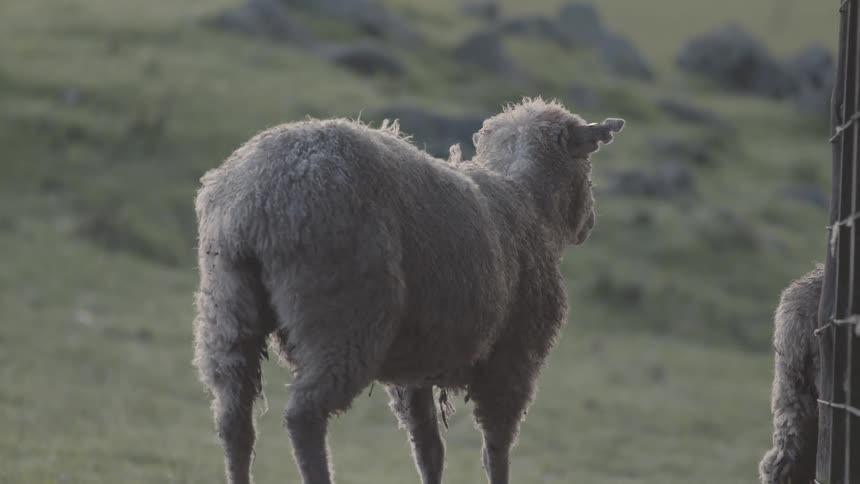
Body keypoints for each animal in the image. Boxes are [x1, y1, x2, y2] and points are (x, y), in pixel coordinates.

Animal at [192, 97, 625, 484]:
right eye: (586, 161)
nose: (589, 224)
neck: (528, 200)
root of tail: (259, 197)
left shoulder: (416, 366)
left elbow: (428, 449)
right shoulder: (512, 360)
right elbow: (496, 450)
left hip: (227, 307)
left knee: (233, 420)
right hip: (340, 315)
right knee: (303, 416)